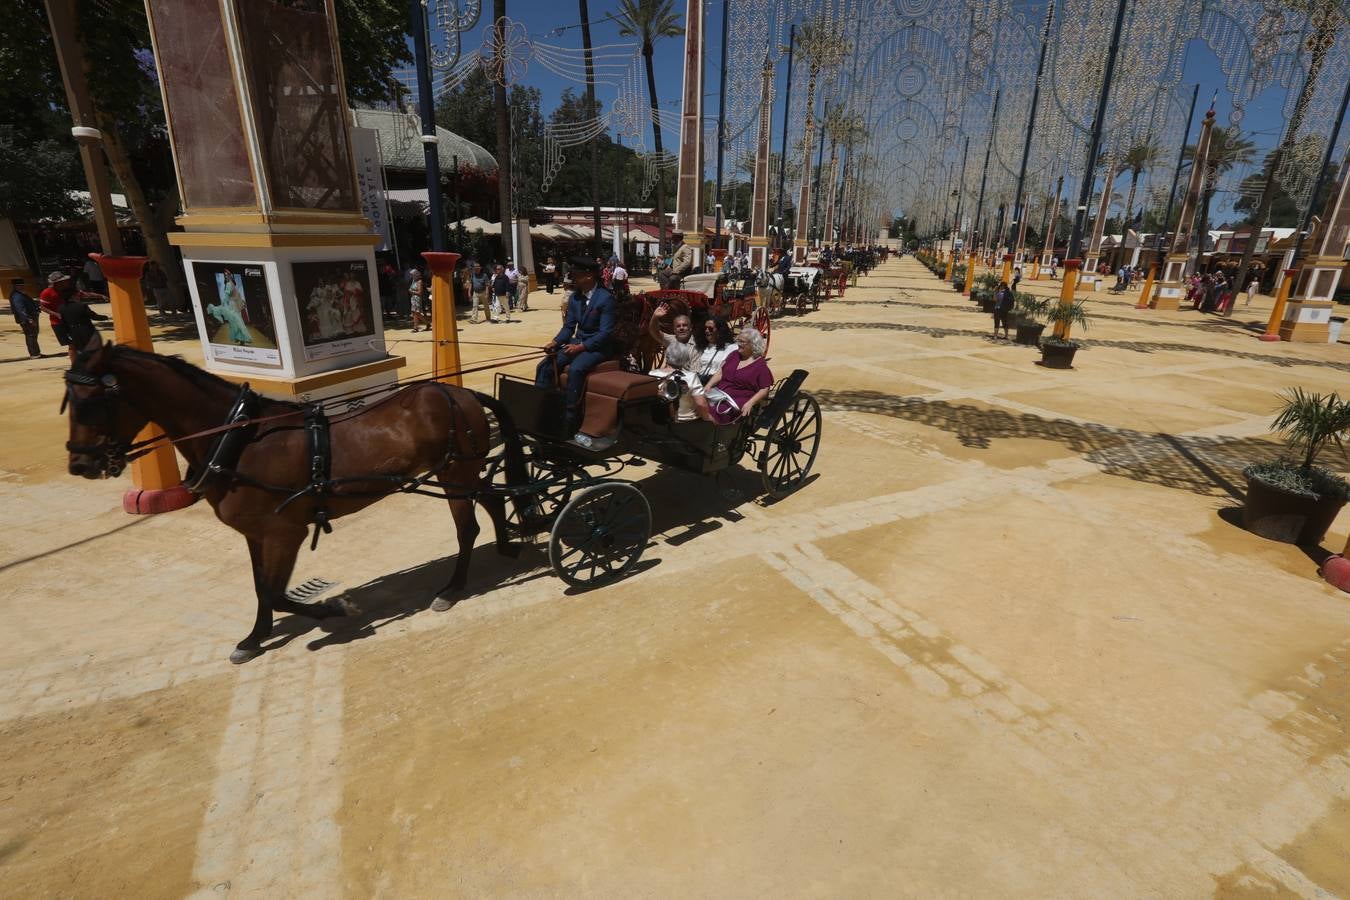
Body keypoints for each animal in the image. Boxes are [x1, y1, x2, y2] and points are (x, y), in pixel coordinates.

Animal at [64, 341, 526, 666]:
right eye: (69, 402)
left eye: (89, 404)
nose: (79, 464)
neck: (239, 439)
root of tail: (461, 395)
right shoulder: (255, 533)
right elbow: (260, 588)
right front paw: (255, 637)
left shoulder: (285, 531)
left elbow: (276, 592)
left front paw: (331, 607)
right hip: (463, 475)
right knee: (493, 501)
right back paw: (507, 544)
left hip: (455, 476)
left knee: (467, 527)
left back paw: (452, 588)